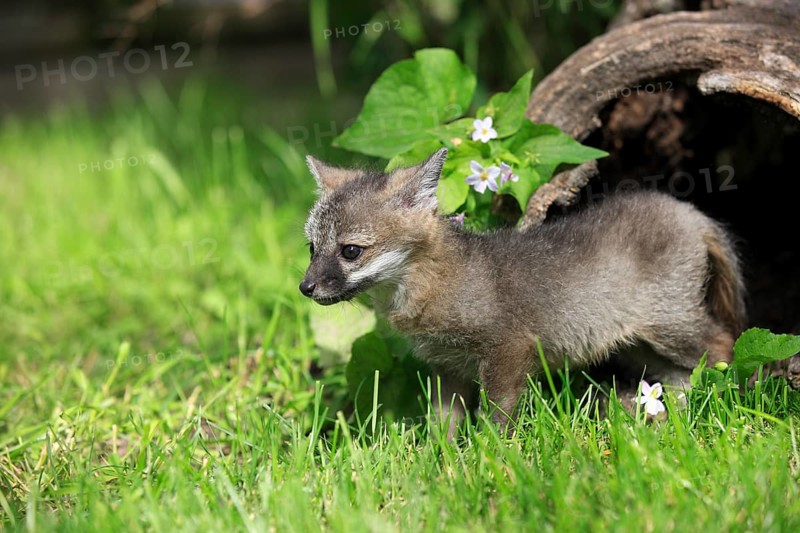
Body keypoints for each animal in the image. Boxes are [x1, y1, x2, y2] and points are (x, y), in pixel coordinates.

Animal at [300, 148, 745, 436]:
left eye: (350, 251)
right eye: (311, 248)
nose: (305, 287)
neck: (432, 283)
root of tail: (689, 211)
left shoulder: (508, 351)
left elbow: (496, 422)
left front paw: (489, 459)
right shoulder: (447, 368)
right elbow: (442, 428)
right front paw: (440, 466)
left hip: (671, 329)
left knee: (724, 345)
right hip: (641, 347)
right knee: (682, 379)